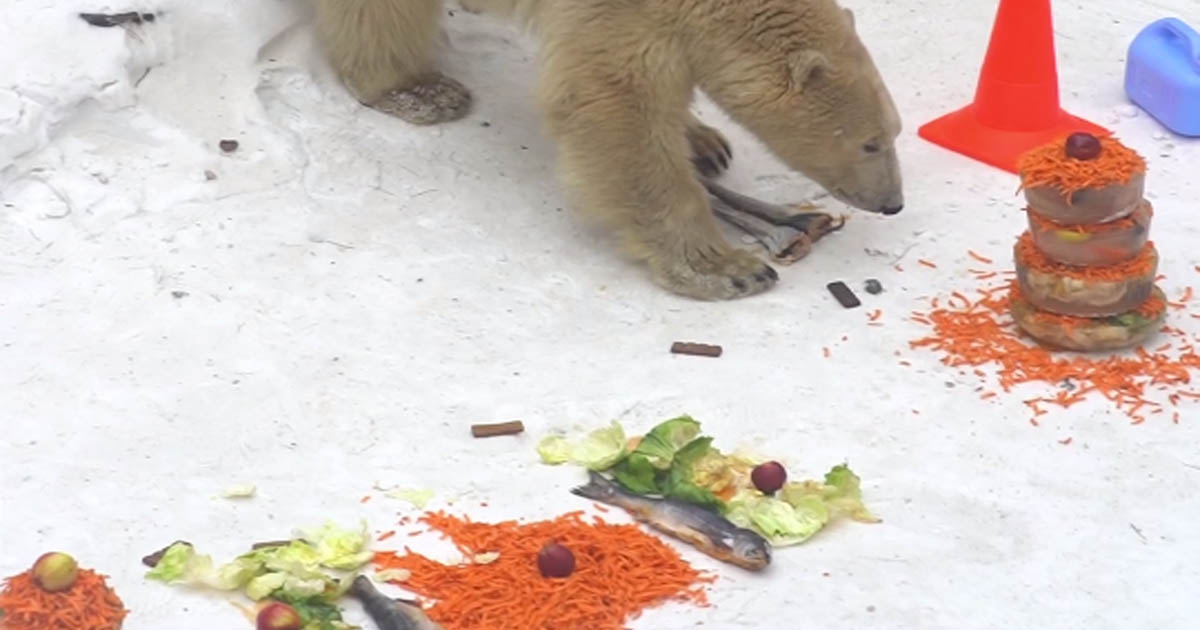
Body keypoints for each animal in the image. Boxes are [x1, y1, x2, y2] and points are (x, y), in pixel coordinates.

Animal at [314, 0, 902, 300]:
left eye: (895, 132)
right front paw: (726, 269)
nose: (893, 203)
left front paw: (703, 142)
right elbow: (618, 108)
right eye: (870, 142)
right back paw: (421, 89)